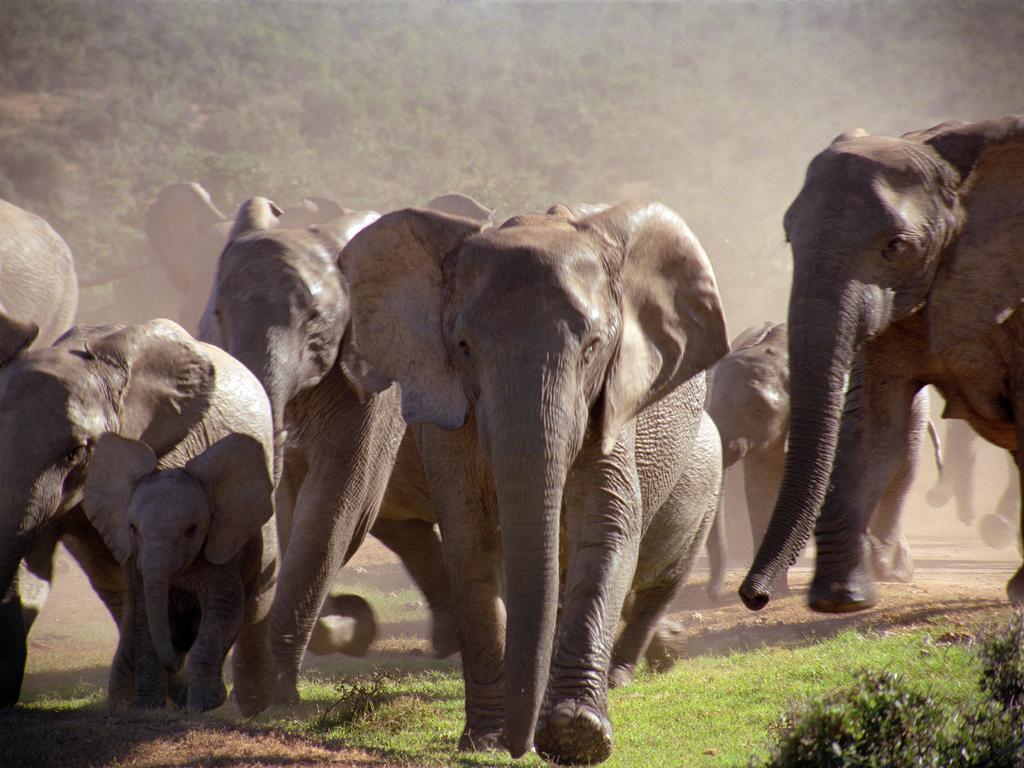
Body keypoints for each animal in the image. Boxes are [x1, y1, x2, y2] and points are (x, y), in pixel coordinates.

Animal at [344, 201, 729, 765]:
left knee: (661, 583)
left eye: (593, 347)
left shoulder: (612, 402)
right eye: (463, 346)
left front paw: (576, 735)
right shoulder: (446, 409)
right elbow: (470, 541)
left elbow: (606, 529)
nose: (518, 746)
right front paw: (484, 739)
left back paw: (617, 678)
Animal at [712, 321, 937, 598]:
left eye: (758, 410)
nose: (713, 593)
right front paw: (776, 594)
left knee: (900, 477)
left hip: (914, 411)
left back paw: (889, 572)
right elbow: (761, 488)